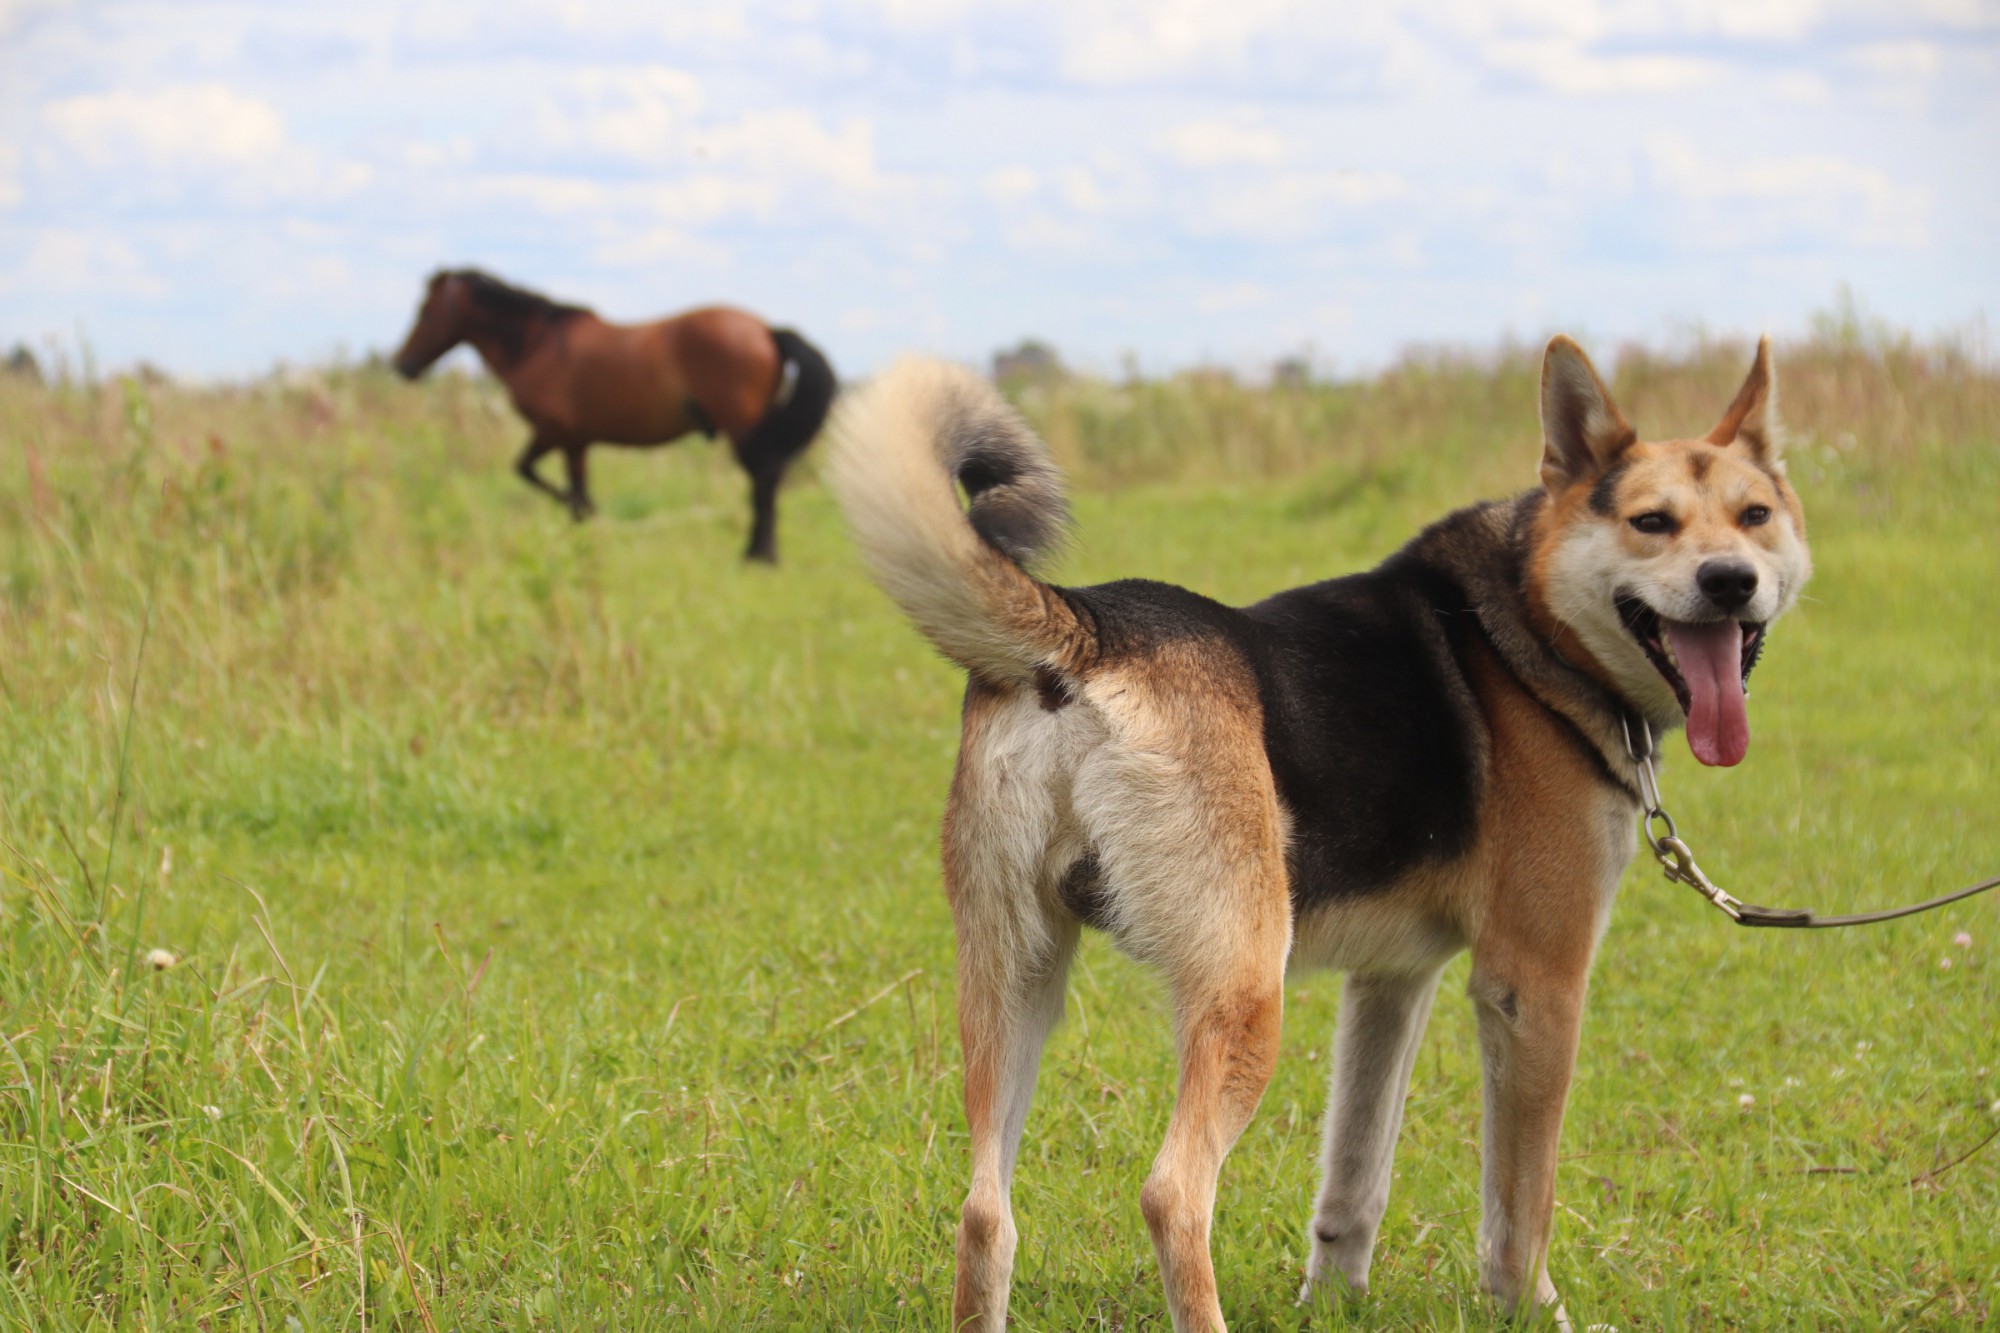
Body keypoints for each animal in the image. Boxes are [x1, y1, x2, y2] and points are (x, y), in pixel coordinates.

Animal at [390, 270, 836, 560]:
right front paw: (586, 526)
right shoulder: (576, 441)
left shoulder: (556, 432)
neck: (539, 346)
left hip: (742, 429)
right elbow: (566, 484)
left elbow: (533, 473)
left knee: (764, 482)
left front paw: (586, 520)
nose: (402, 365)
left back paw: (759, 555)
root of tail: (765, 329)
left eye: (425, 310)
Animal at [828, 338, 1816, 1320]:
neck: (1527, 630)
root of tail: (1089, 626)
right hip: (1242, 993)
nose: (1730, 580)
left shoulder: (1391, 982)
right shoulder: (1535, 986)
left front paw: (1335, 1301)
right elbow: (1521, 1205)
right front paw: (1530, 1310)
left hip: (1014, 981)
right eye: (1652, 522)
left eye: (1755, 516)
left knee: (985, 1213)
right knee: (1172, 1194)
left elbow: (1355, 1173)